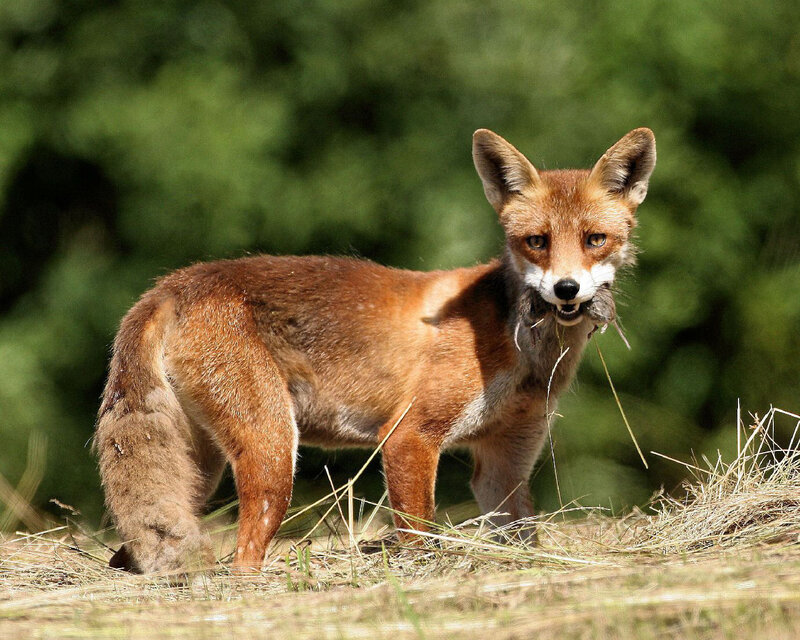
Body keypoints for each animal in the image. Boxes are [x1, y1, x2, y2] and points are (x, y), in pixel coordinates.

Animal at [95, 127, 655, 573]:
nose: (566, 289)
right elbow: (418, 533)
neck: (520, 350)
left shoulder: (504, 462)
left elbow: (521, 536)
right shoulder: (409, 435)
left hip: (202, 474)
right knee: (243, 554)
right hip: (273, 454)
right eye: (537, 241)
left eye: (595, 239)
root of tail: (171, 284)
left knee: (132, 547)